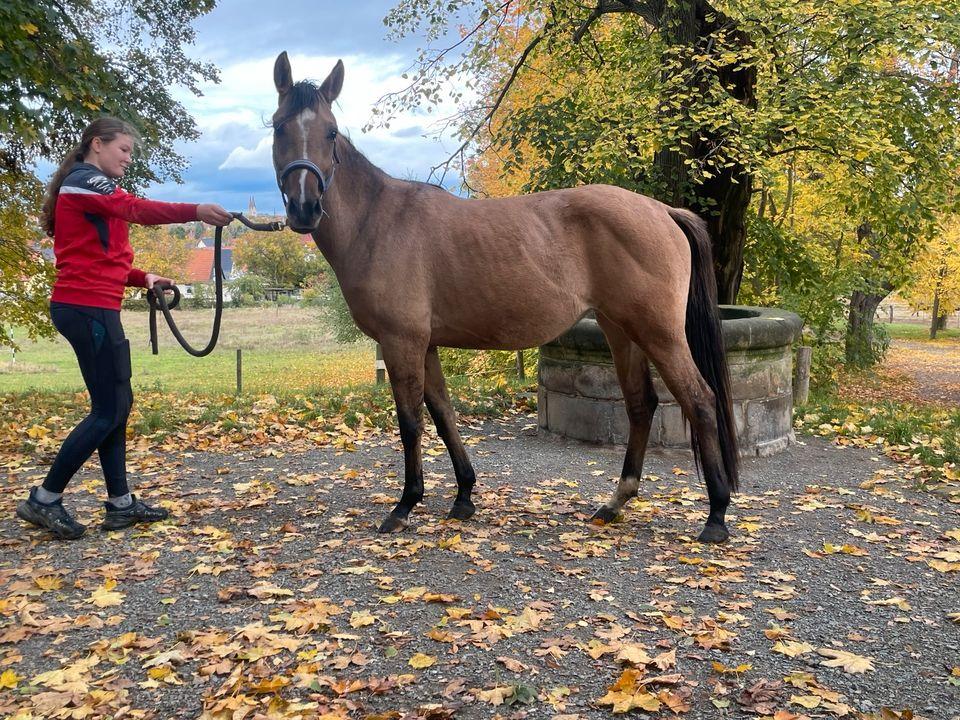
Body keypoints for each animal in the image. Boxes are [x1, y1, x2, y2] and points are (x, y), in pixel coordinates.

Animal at [270, 52, 739, 543]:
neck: (379, 219)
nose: (304, 208)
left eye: (330, 132)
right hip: (620, 329)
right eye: (279, 126)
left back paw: (716, 516)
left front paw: (405, 504)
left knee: (700, 402)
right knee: (640, 404)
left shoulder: (402, 342)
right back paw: (615, 503)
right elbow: (444, 415)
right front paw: (463, 496)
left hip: (659, 333)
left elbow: (411, 422)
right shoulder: (426, 344)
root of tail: (662, 210)